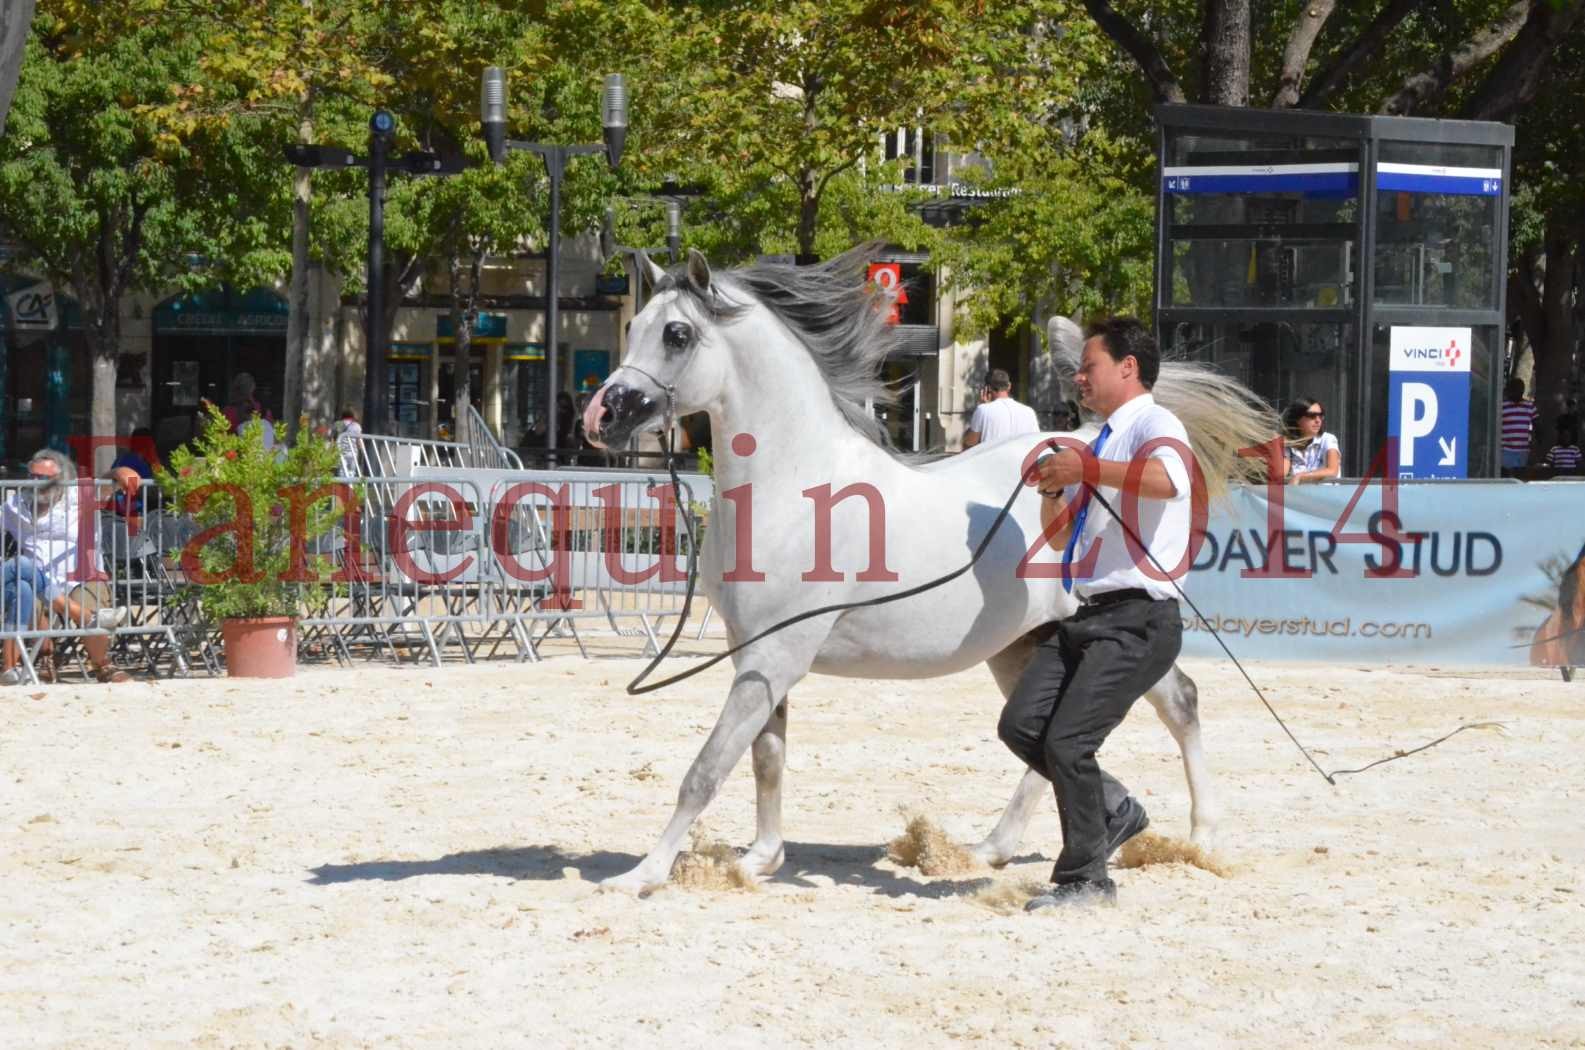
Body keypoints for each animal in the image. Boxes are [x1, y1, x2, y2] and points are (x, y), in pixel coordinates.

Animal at [583, 249, 1274, 894]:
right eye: (633, 325)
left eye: (677, 334)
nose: (600, 418)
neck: (792, 487)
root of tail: (1090, 443)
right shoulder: (756, 652)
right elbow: (766, 758)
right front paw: (759, 860)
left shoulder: (776, 654)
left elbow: (706, 769)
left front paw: (642, 875)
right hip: (1025, 647)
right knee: (1049, 740)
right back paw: (998, 848)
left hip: (1104, 633)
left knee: (1176, 703)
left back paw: (1202, 840)